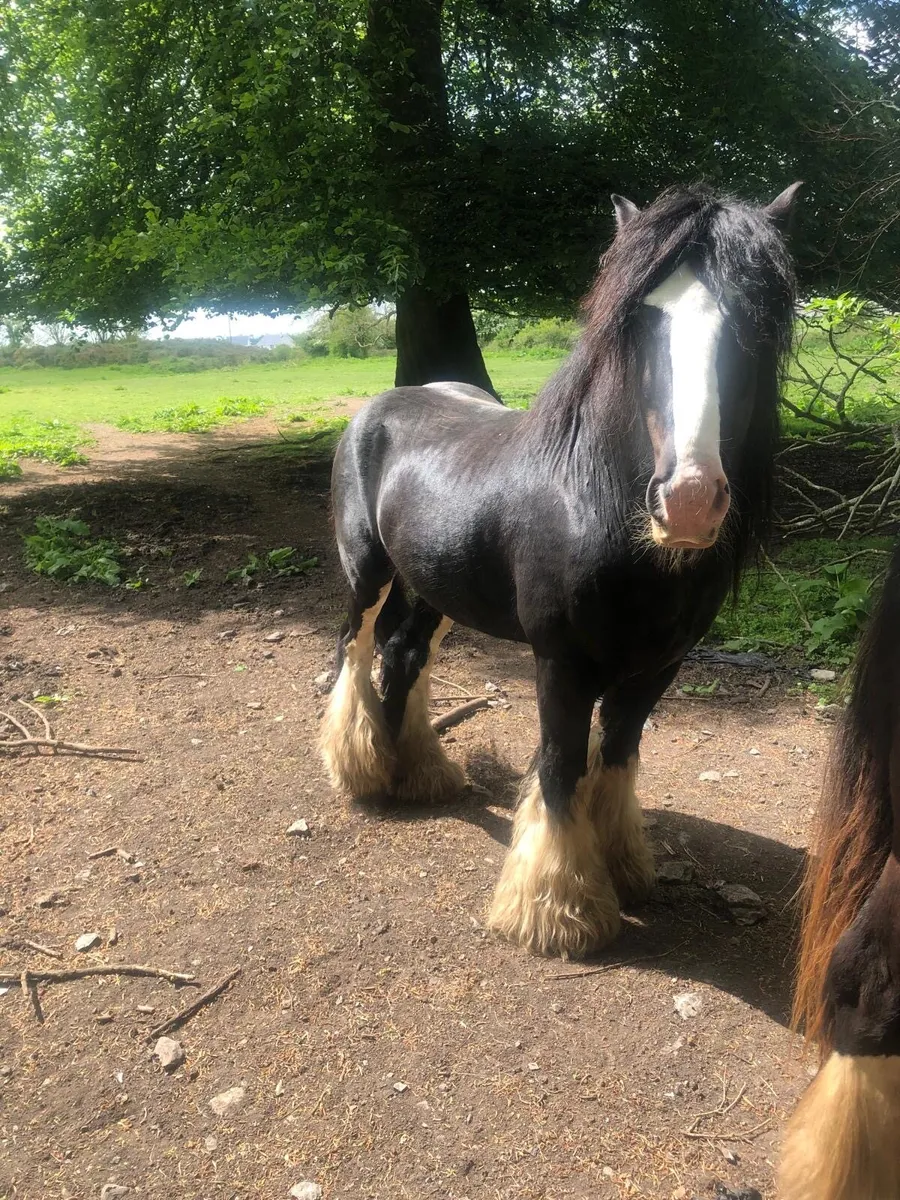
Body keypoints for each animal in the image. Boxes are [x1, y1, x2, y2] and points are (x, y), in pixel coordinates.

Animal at [320, 181, 800, 960]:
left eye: (752, 320)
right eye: (639, 320)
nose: (688, 500)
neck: (591, 507)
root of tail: (380, 406)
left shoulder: (658, 666)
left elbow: (618, 755)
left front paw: (623, 868)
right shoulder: (560, 663)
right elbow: (561, 764)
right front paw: (558, 909)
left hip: (432, 588)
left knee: (403, 653)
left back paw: (415, 771)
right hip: (367, 573)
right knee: (354, 649)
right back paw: (359, 769)